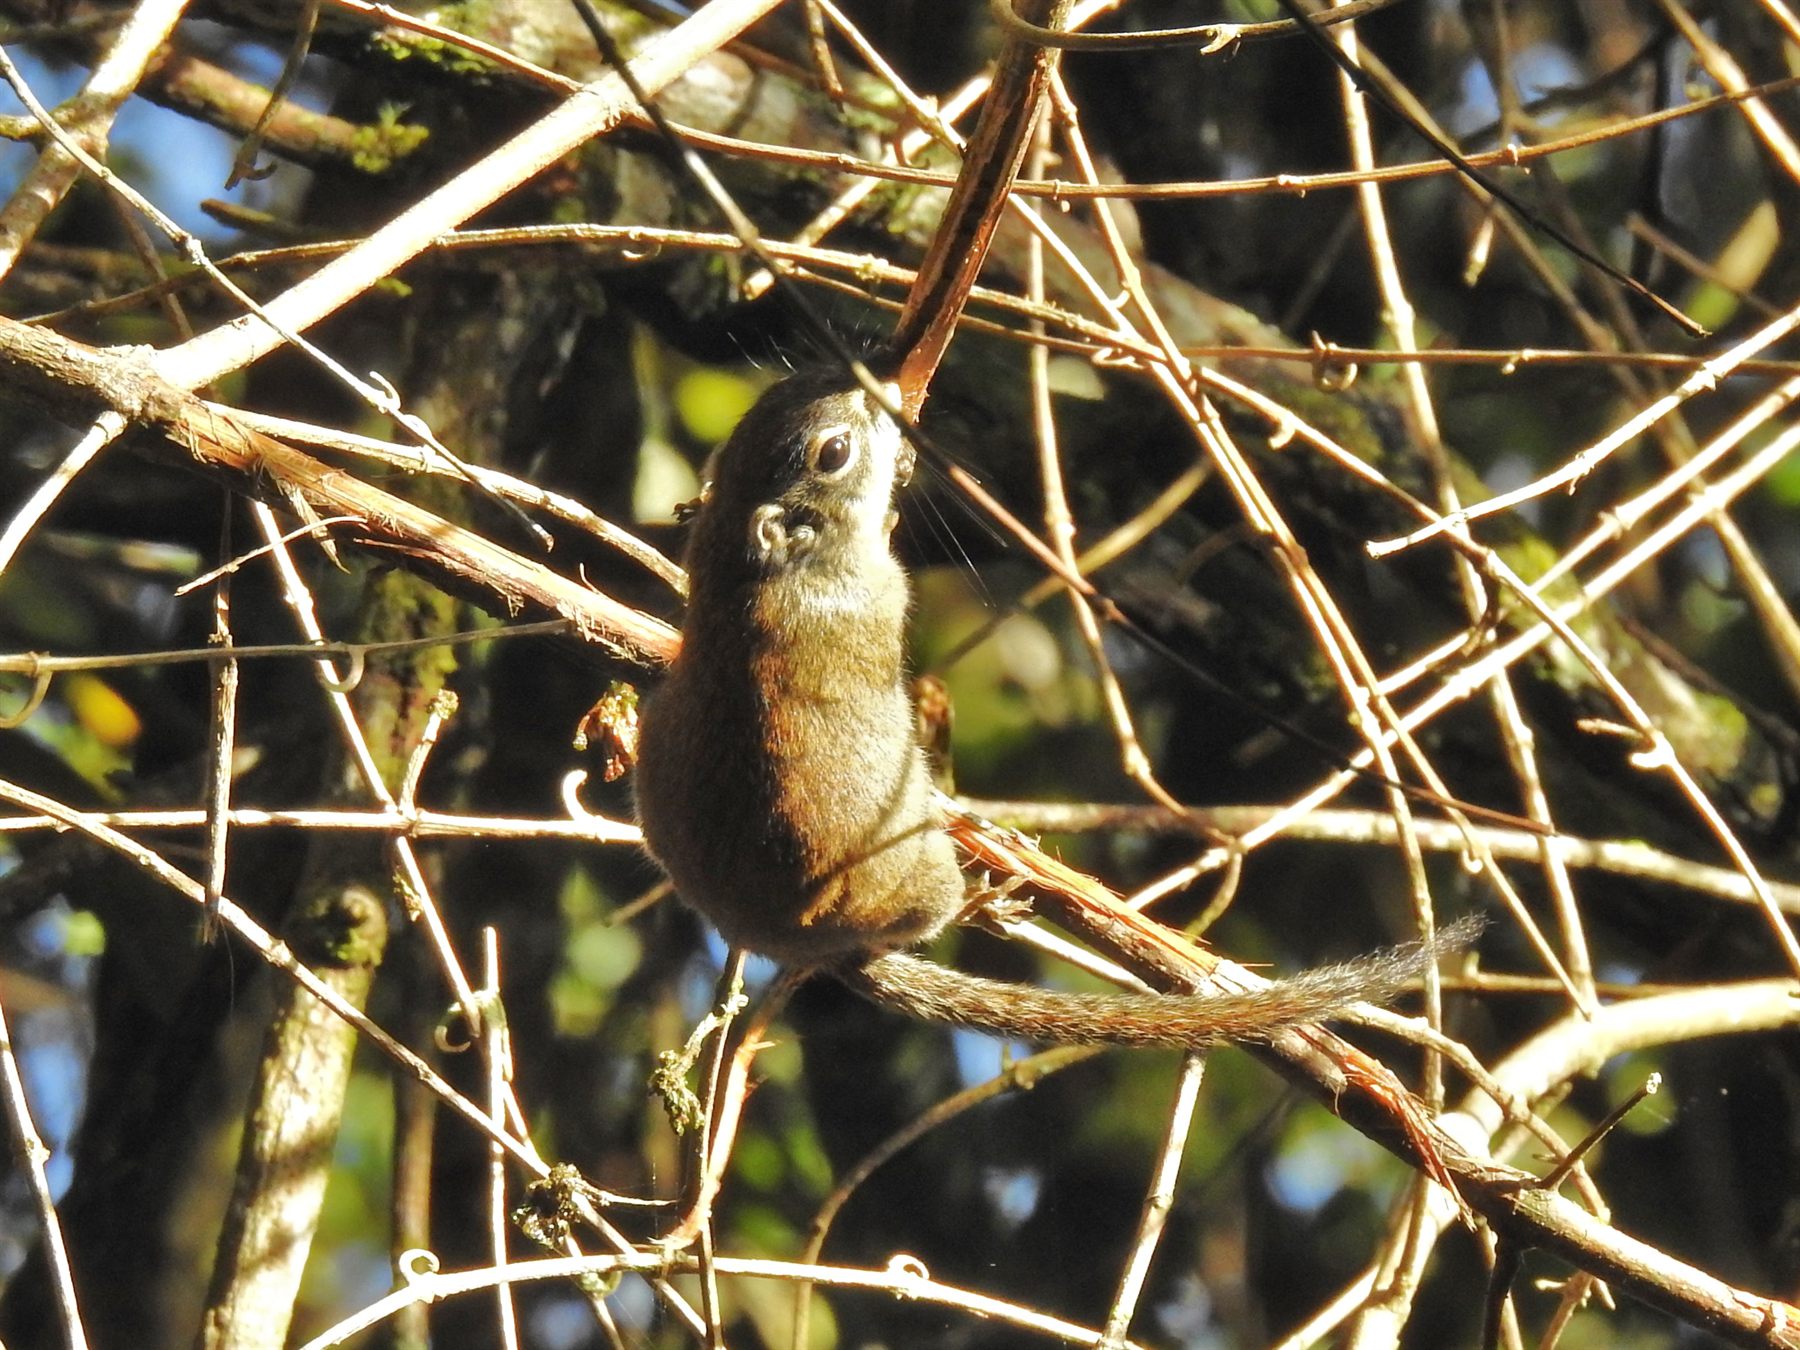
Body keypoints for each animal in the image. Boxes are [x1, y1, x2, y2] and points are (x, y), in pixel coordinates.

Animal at [633, 367, 1471, 1048]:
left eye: (773, 399)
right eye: (832, 453)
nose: (868, 380)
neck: (749, 567)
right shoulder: (881, 594)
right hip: (920, 873)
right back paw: (981, 899)